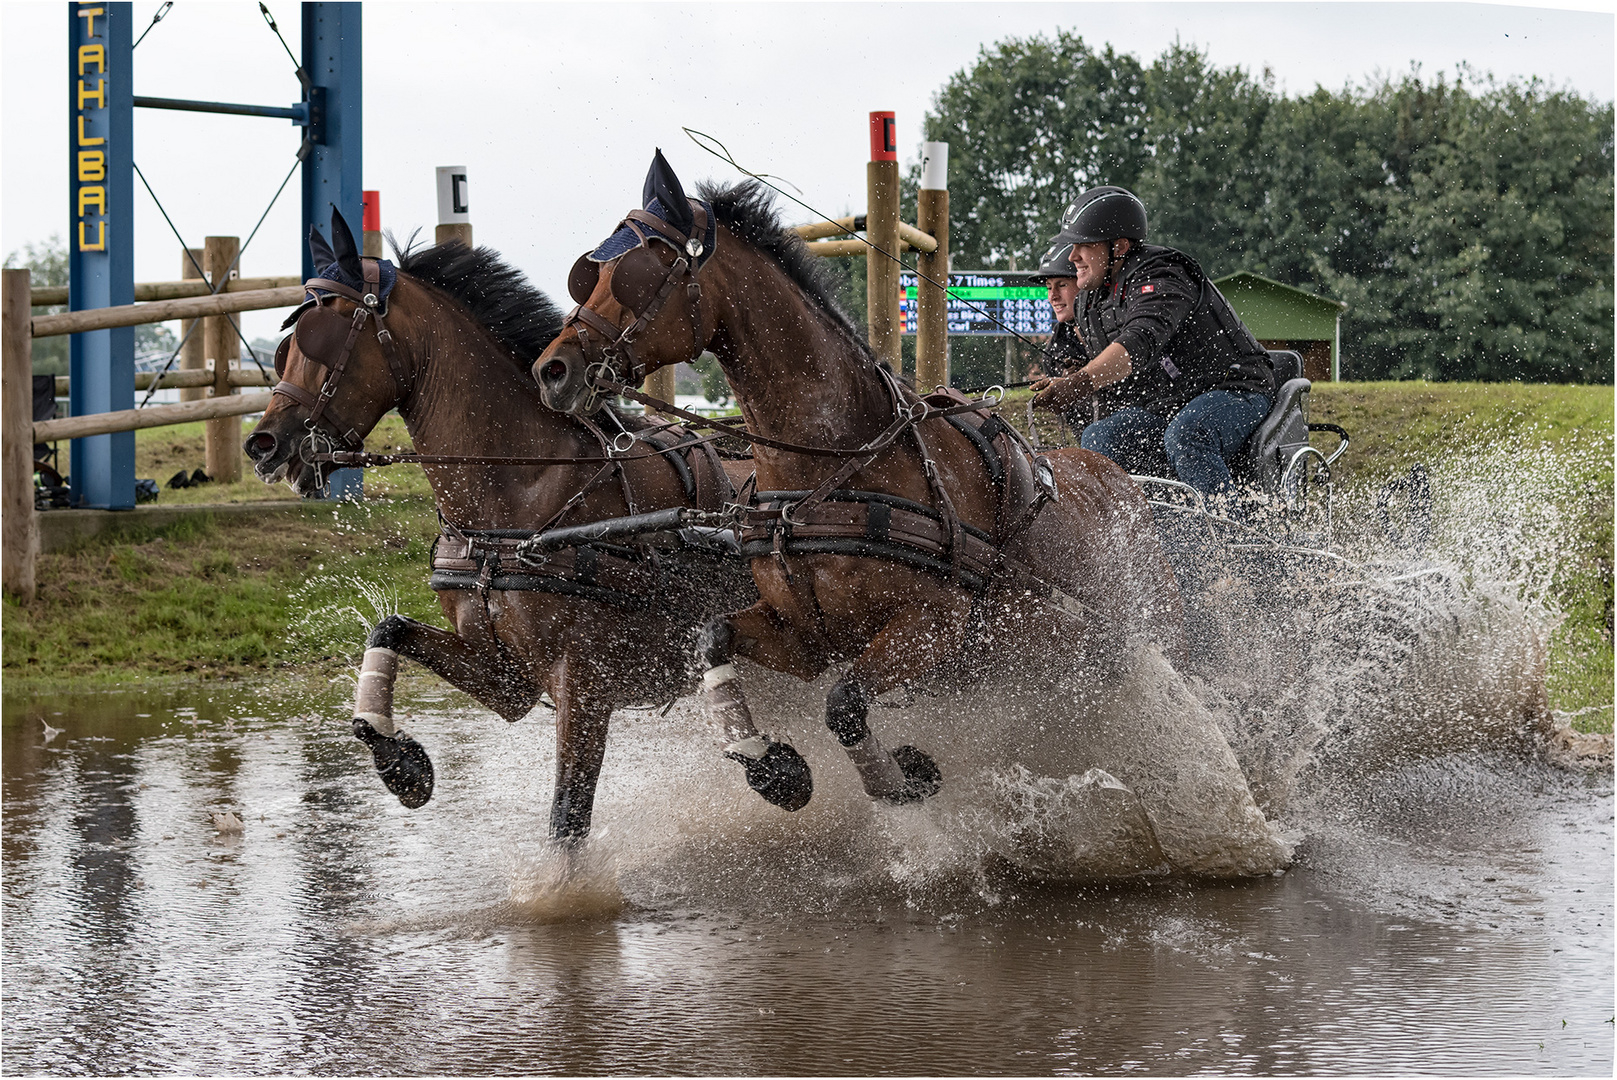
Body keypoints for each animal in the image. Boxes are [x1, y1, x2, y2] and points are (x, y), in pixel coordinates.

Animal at [242, 206, 753, 840]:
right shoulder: (509, 678)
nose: (263, 444)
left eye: (322, 336)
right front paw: (401, 764)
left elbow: (566, 817)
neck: (522, 498)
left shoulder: (586, 682)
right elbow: (386, 630)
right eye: (286, 344)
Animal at [536, 151, 1183, 808]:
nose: (552, 370)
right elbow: (713, 639)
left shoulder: (933, 628)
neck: (833, 464)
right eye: (589, 273)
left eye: (639, 270)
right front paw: (772, 766)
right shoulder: (802, 636)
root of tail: (1125, 483)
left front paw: (899, 778)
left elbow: (844, 704)